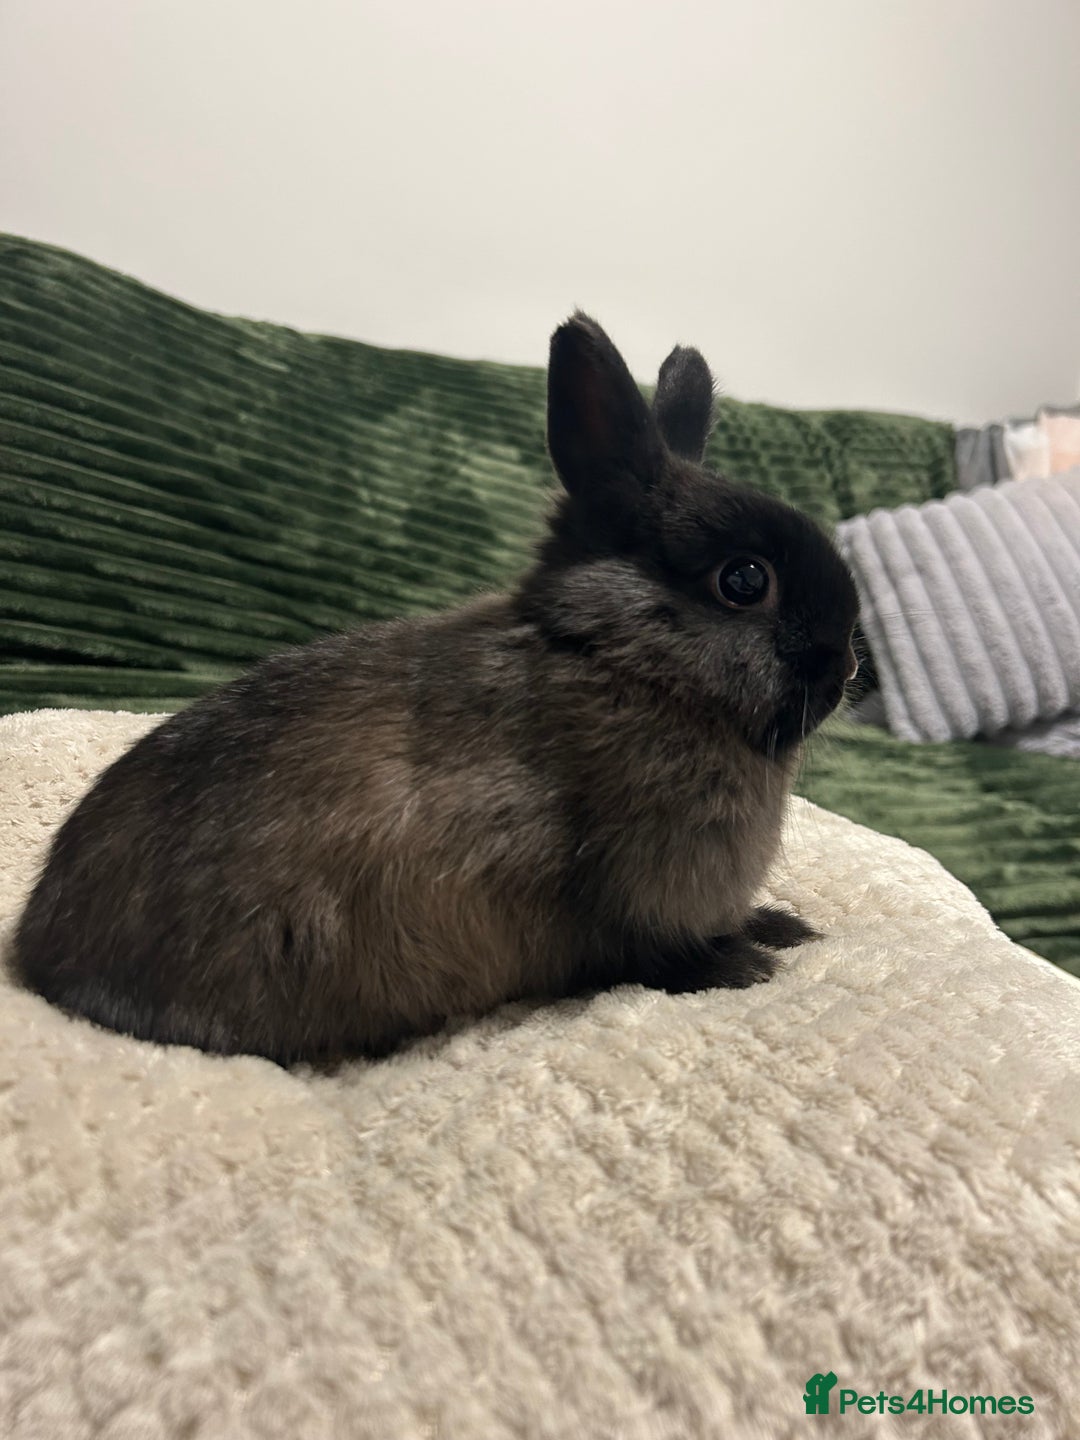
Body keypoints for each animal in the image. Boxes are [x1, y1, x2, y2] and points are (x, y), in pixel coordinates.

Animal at [11, 313, 860, 1065]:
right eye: (744, 580)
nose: (847, 667)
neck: (625, 659)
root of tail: (36, 958)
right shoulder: (635, 892)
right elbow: (653, 954)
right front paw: (745, 965)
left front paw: (783, 927)